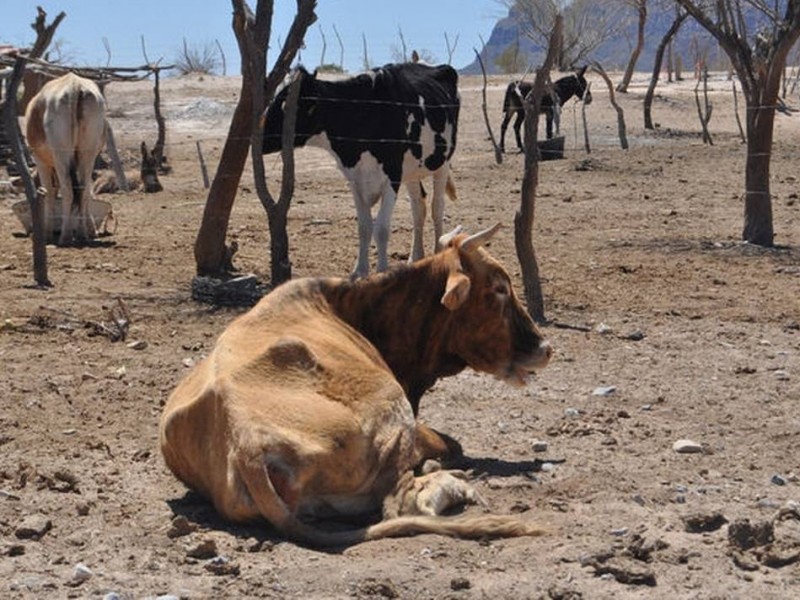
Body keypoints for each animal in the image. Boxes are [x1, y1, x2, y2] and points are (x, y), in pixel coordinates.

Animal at [25, 72, 107, 244]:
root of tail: (74, 85)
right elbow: (87, 192)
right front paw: (91, 230)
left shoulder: (41, 160)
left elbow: (49, 192)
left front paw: (47, 232)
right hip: (87, 154)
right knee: (82, 189)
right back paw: (81, 233)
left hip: (61, 155)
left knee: (68, 190)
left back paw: (66, 236)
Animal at [159, 223, 552, 548]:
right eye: (499, 288)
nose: (545, 347)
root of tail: (248, 446)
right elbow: (451, 444)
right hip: (392, 408)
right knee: (402, 503)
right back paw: (451, 482)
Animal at [262, 62, 460, 278]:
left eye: (285, 106)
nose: (260, 137)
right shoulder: (355, 179)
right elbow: (364, 227)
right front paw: (359, 271)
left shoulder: (392, 175)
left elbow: (381, 228)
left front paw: (381, 271)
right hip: (412, 171)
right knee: (418, 207)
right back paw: (415, 258)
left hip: (442, 163)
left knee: (436, 207)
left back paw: (437, 253)